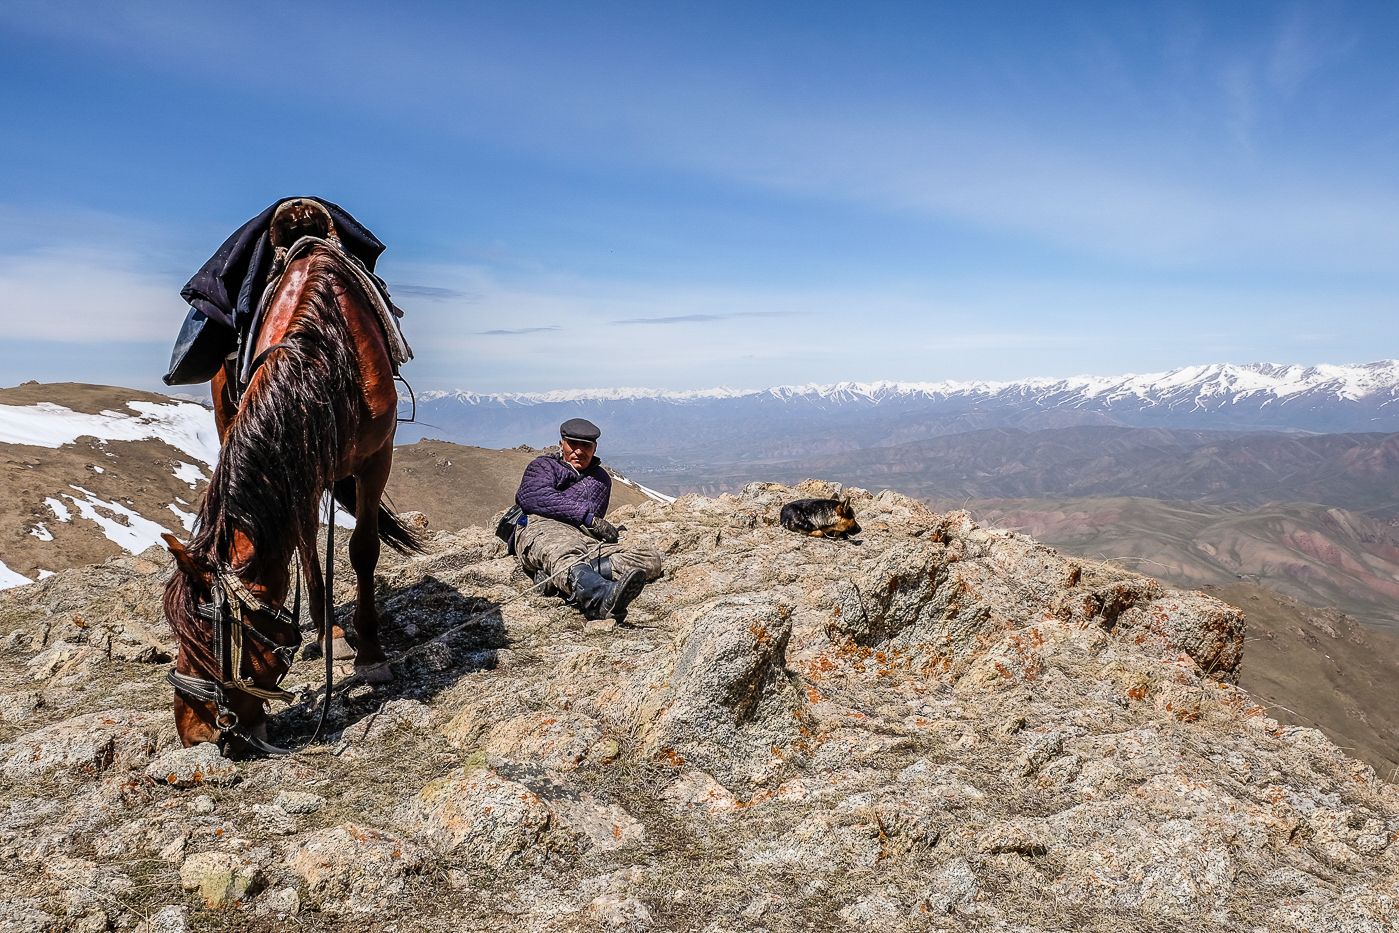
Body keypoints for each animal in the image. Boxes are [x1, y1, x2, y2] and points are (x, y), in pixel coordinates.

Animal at [162, 208, 419, 755]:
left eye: (206, 643)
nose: (192, 733)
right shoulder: (298, 469)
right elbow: (306, 549)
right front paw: (333, 636)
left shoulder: (375, 458)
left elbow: (363, 550)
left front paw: (371, 653)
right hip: (231, 422)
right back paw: (326, 632)